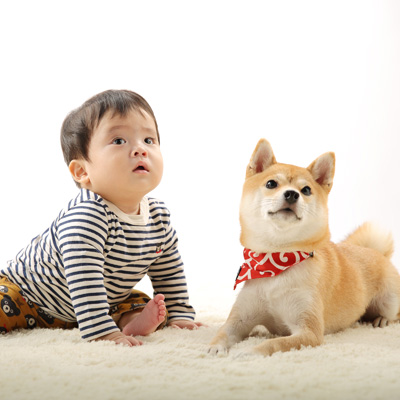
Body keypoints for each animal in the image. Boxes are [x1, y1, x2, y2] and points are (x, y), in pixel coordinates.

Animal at [208, 138, 400, 356]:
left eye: (306, 190)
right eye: (271, 183)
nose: (292, 194)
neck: (276, 260)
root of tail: (377, 253)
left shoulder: (308, 331)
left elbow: (274, 343)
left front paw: (250, 351)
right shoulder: (239, 320)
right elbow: (223, 332)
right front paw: (215, 348)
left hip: (389, 300)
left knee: (394, 314)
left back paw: (381, 319)